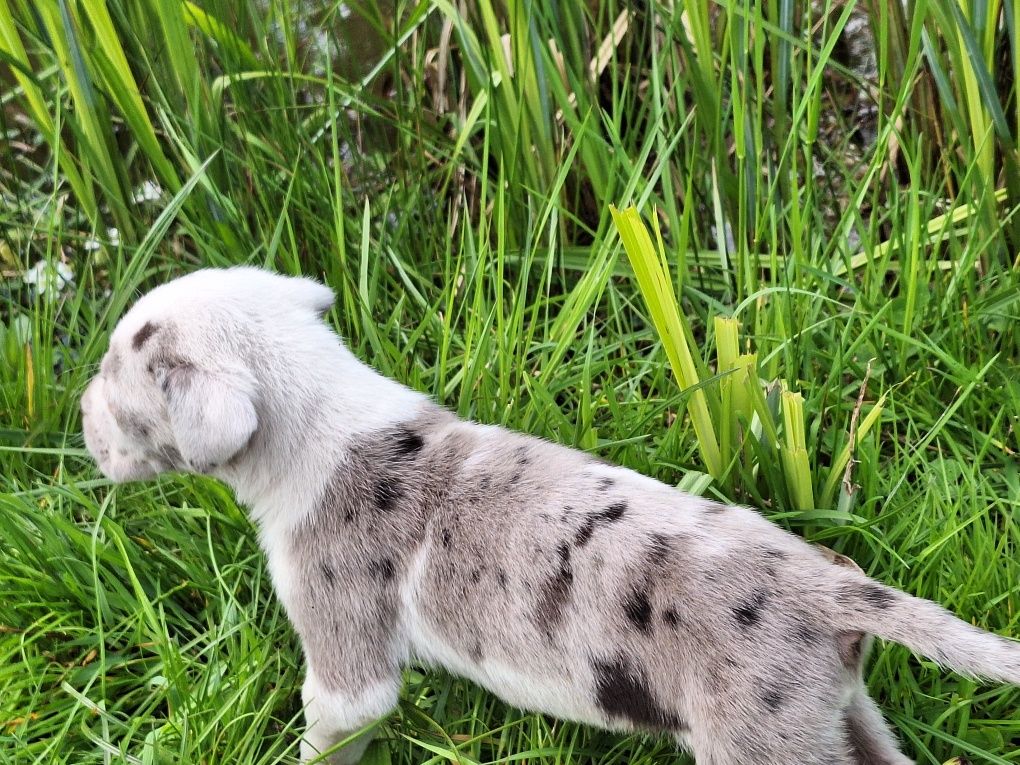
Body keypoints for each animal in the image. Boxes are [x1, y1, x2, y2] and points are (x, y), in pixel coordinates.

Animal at [81, 267, 1020, 765]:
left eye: (119, 381)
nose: (80, 419)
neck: (322, 419)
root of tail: (833, 592)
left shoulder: (346, 662)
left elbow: (332, 727)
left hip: (761, 743)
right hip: (838, 712)